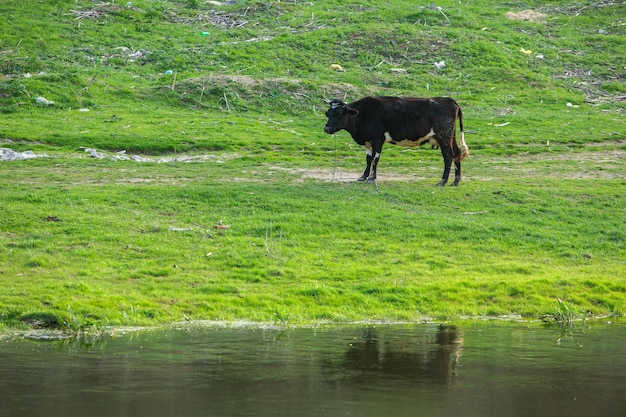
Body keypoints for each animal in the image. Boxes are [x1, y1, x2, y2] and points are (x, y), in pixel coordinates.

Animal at [322, 95, 468, 186]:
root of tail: (449, 100)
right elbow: (368, 159)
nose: (327, 128)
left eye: (339, 114)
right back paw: (456, 181)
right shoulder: (367, 142)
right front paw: (363, 176)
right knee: (457, 153)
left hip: (444, 136)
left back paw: (443, 181)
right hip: (450, 136)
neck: (363, 114)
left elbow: (375, 159)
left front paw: (371, 178)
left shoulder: (377, 139)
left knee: (448, 156)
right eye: (328, 113)